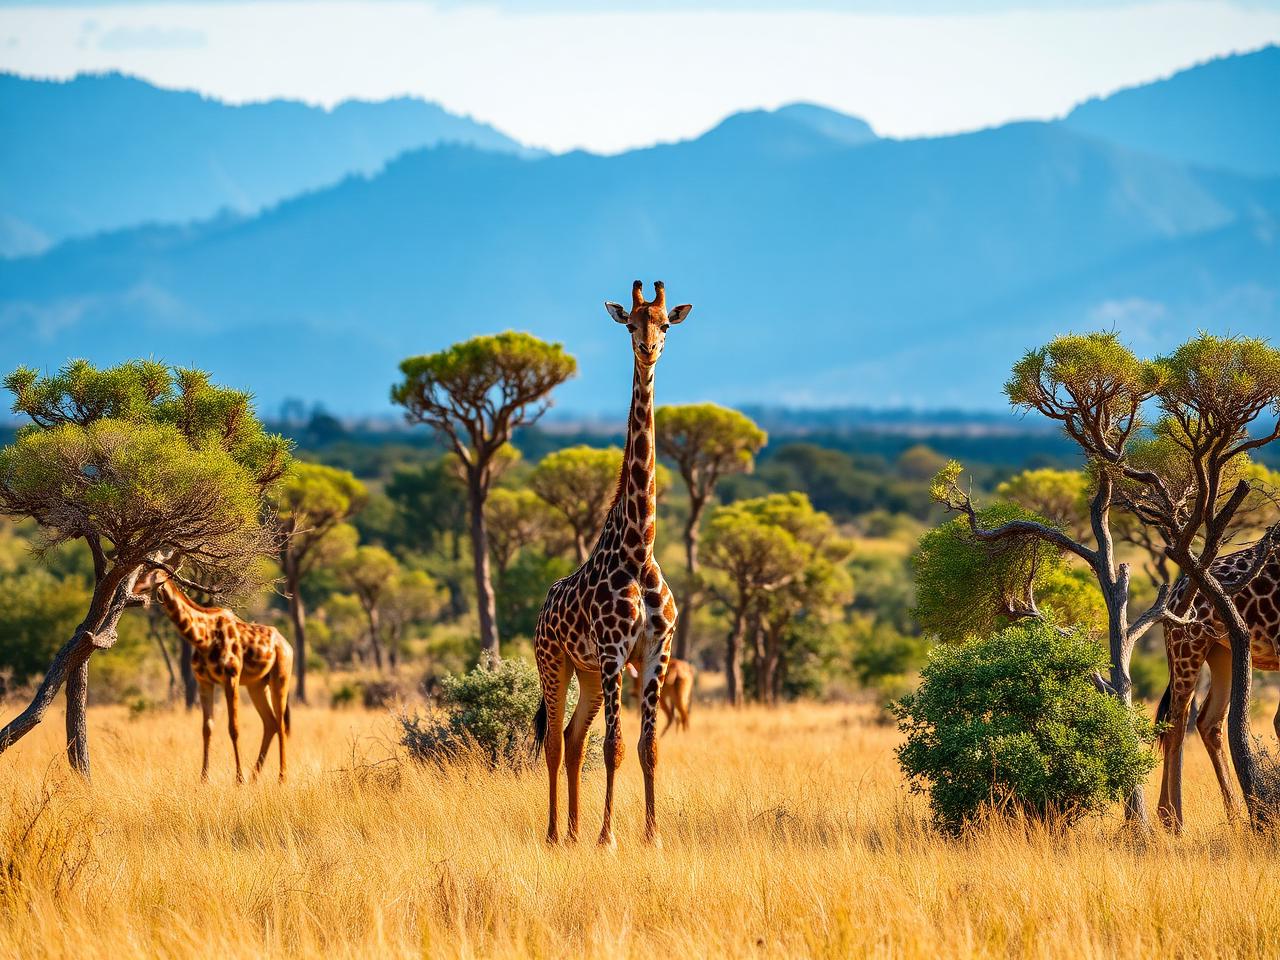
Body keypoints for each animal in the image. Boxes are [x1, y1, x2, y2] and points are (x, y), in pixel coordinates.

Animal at [134, 566, 294, 783]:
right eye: (140, 573)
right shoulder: (204, 682)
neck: (204, 638)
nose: (133, 589)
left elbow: (234, 728)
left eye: (151, 576)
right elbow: (207, 728)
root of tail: (288, 646)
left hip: (280, 678)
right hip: (257, 685)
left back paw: (281, 778)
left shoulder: (231, 676)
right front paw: (203, 778)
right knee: (271, 723)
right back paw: (255, 777)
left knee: (281, 724)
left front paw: (239, 779)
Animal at [532, 280, 691, 848]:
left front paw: (653, 835)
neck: (639, 550)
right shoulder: (612, 652)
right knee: (555, 742)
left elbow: (649, 747)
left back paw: (574, 831)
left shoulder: (656, 652)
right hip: (555, 663)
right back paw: (556, 834)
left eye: (665, 324)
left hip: (586, 675)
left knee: (573, 736)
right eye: (630, 325)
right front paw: (609, 838)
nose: (648, 349)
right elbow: (615, 747)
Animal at [1156, 523, 1280, 830]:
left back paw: (1234, 815)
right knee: (1176, 722)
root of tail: (1172, 594)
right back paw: (1172, 819)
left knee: (1208, 721)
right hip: (1187, 645)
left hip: (1223, 652)